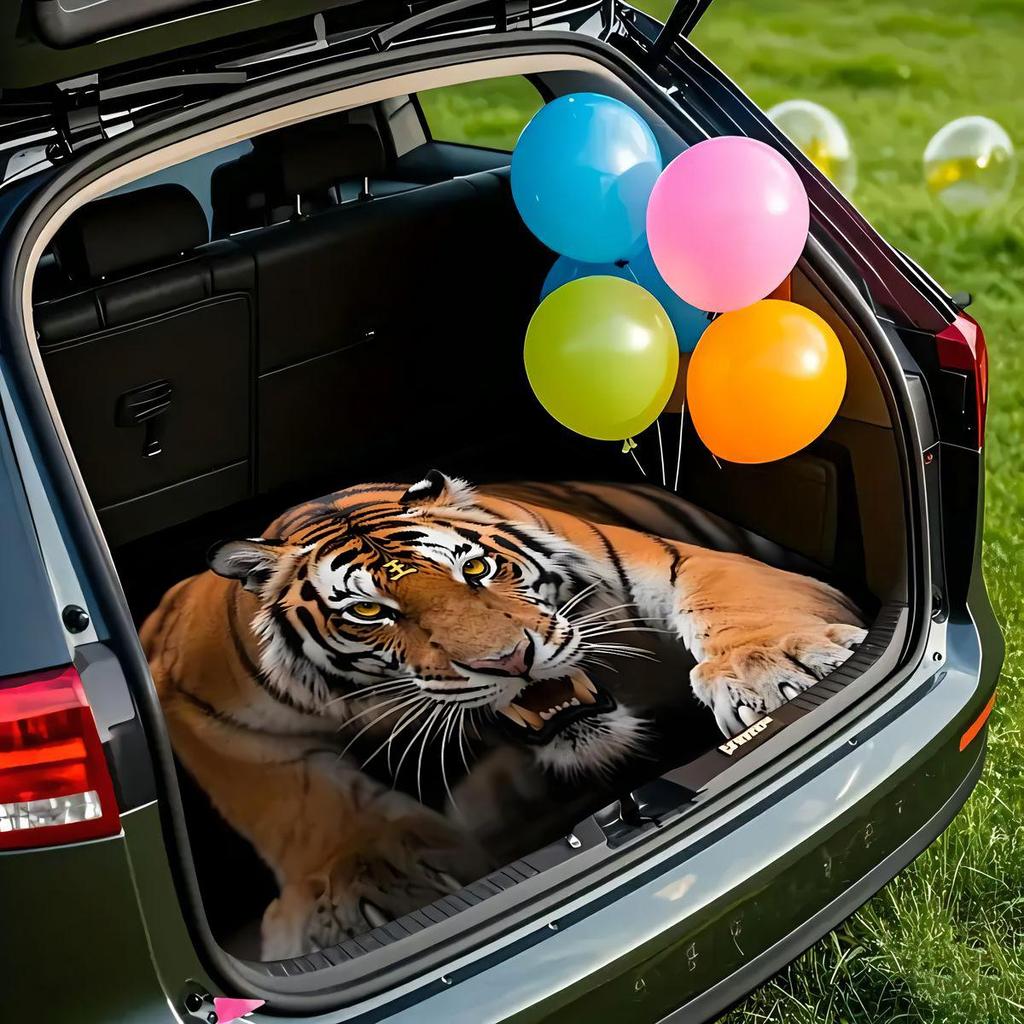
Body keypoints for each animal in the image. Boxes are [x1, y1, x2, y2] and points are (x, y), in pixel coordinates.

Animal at [142, 470, 866, 959]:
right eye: (370, 611)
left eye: (478, 569)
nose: (512, 660)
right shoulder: (191, 692)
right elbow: (293, 798)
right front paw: (364, 884)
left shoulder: (675, 558)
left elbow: (726, 598)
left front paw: (770, 670)